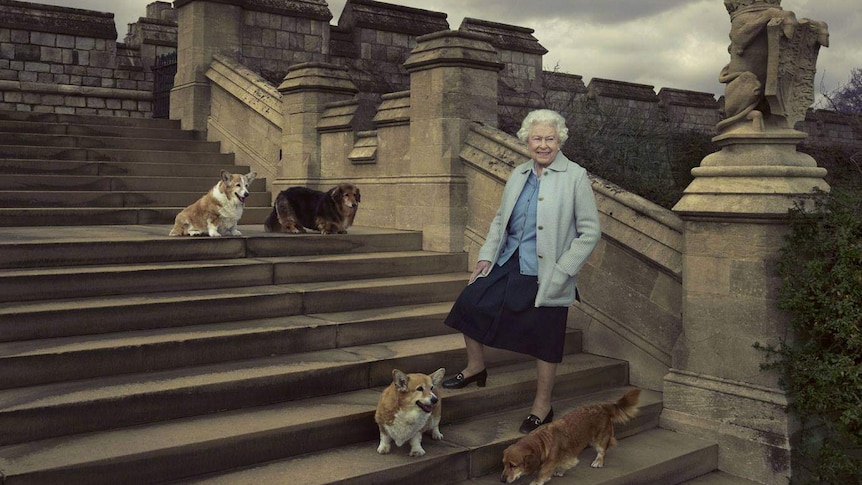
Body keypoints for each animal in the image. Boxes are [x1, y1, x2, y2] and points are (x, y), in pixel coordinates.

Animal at [500, 388, 640, 484]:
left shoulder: (551, 461)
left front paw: (536, 481)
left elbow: (543, 472)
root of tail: (603, 406)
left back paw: (598, 461)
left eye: (513, 465)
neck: (542, 441)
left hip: (599, 440)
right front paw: (560, 470)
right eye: (504, 464)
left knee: (602, 451)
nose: (502, 480)